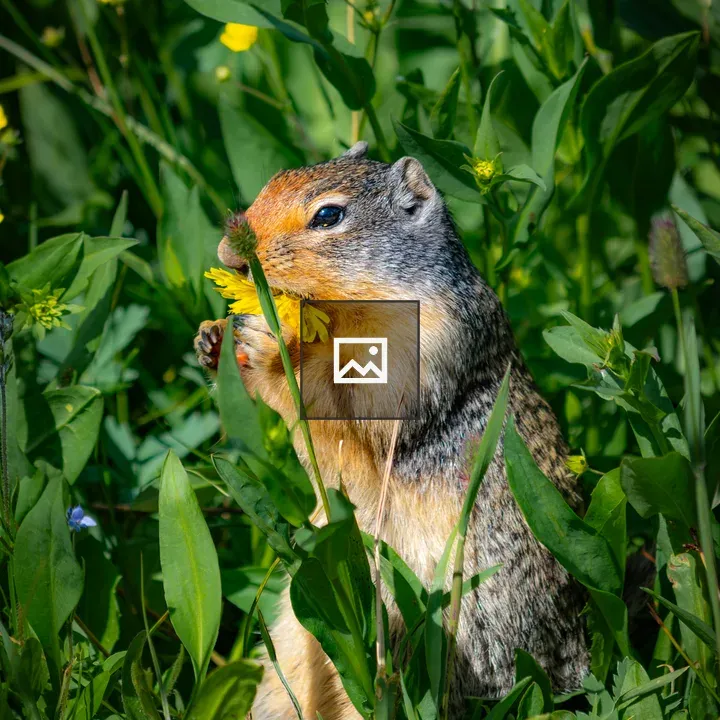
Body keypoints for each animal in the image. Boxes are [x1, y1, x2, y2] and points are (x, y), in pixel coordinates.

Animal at [195, 142, 588, 719]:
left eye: (328, 216)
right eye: (275, 179)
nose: (228, 254)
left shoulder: (420, 346)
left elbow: (356, 408)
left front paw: (271, 346)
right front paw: (215, 339)